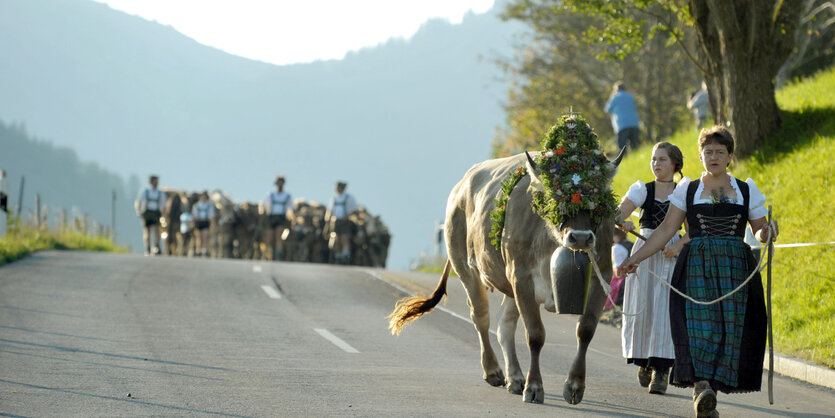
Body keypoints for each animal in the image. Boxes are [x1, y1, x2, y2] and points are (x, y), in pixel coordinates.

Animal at [388, 113, 624, 404]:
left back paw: (515, 377)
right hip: (467, 268)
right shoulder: (522, 277)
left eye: (598, 200)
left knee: (504, 325)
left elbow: (586, 330)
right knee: (481, 318)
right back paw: (494, 371)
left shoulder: (602, 274)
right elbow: (535, 335)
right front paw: (534, 388)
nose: (580, 238)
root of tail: (461, 186)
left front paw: (574, 386)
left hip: (508, 284)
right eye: (554, 196)